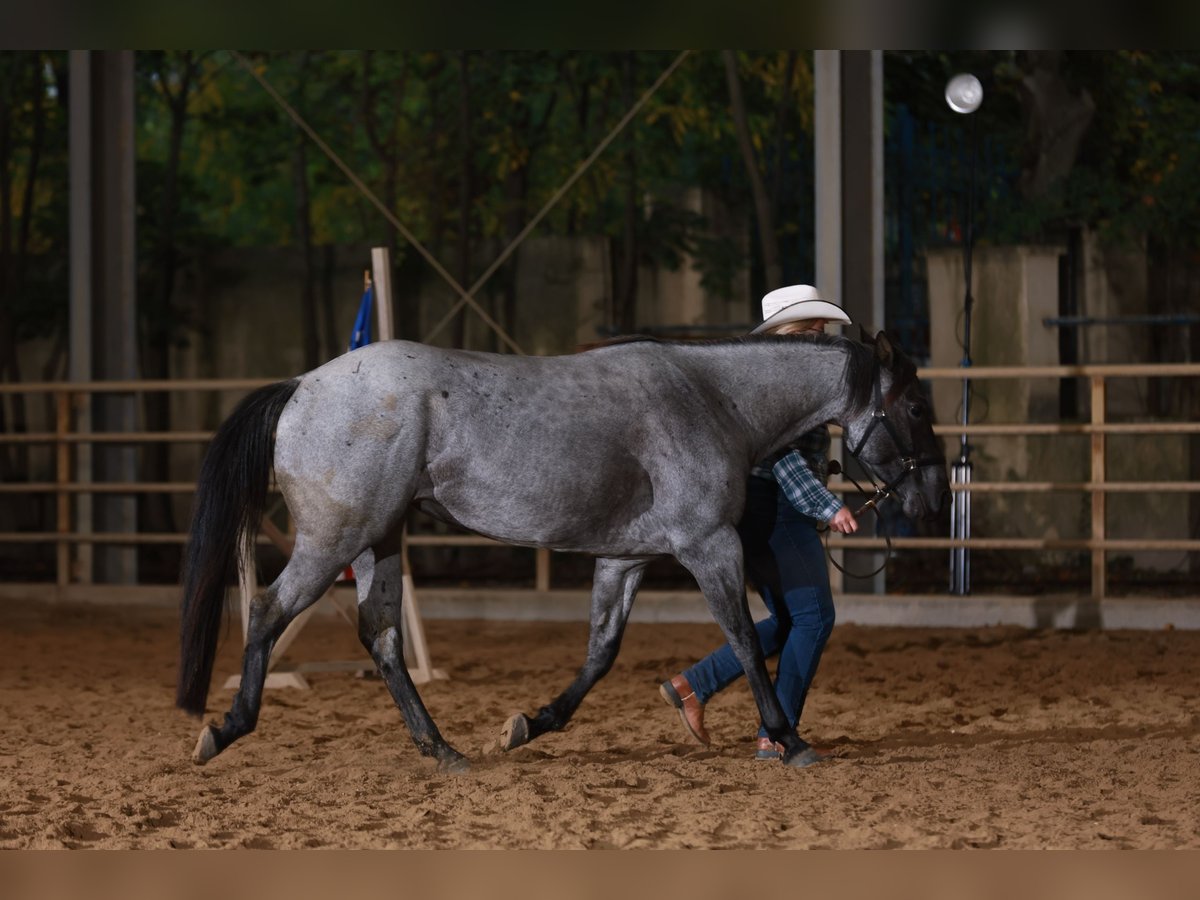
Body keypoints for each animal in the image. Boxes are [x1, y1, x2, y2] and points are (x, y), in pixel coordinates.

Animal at [177, 329, 948, 771]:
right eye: (916, 407)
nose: (934, 496)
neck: (711, 398)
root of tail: (302, 387)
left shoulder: (627, 558)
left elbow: (600, 653)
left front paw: (530, 724)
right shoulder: (709, 546)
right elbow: (745, 639)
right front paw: (789, 740)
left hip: (378, 542)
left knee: (383, 637)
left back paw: (443, 750)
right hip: (334, 538)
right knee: (268, 612)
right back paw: (227, 728)